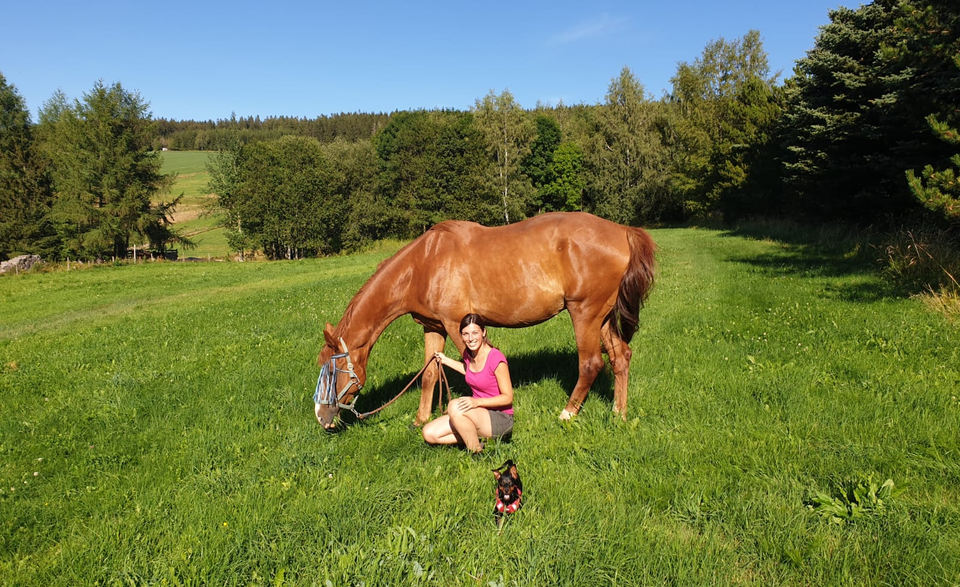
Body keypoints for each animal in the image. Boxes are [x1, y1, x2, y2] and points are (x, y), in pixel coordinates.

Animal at [314, 211, 656, 430]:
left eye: (331, 372)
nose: (321, 417)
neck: (424, 263)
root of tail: (624, 231)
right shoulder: (433, 328)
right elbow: (430, 375)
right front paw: (421, 419)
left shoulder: (457, 326)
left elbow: (473, 371)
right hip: (603, 317)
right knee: (620, 357)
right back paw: (619, 414)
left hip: (584, 314)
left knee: (591, 364)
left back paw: (567, 414)